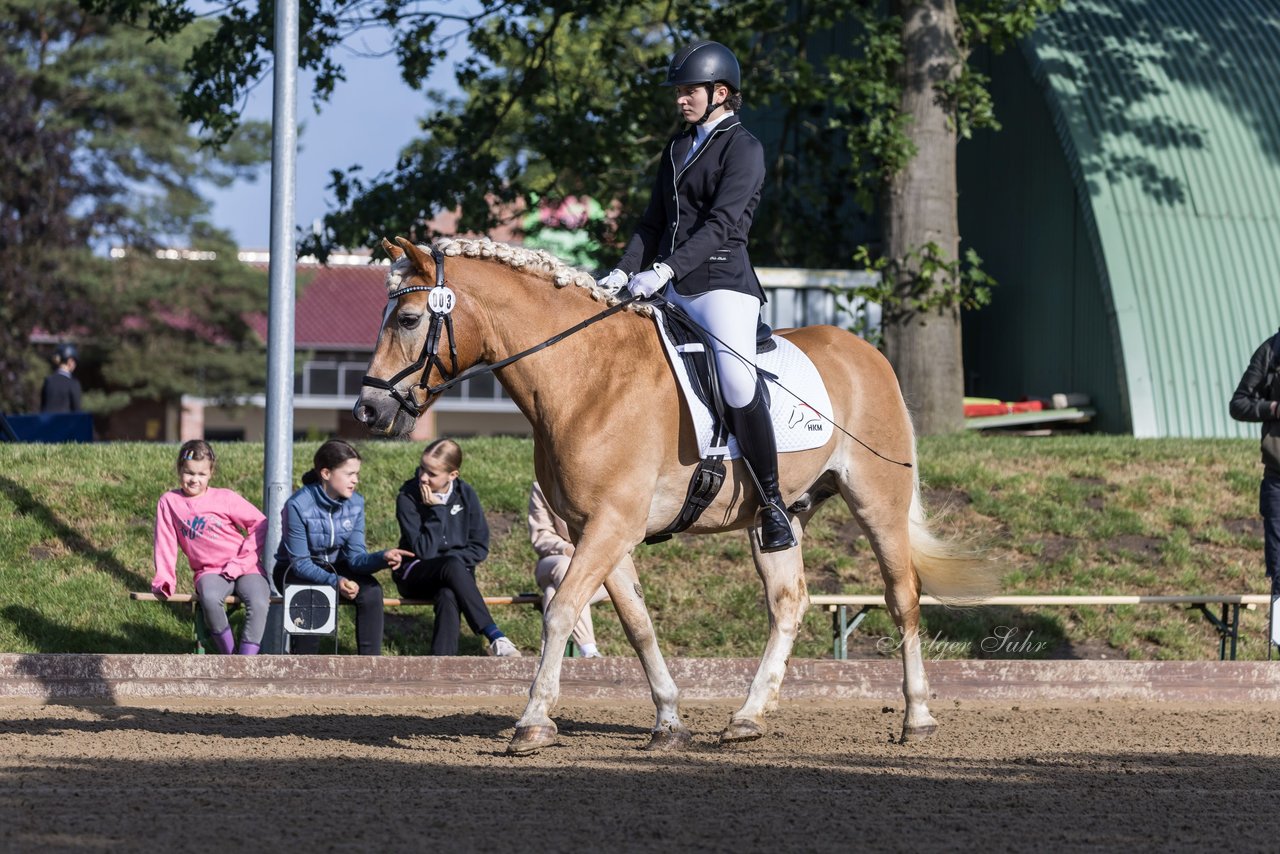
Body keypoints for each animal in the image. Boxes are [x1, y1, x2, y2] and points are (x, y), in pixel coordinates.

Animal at [355, 235, 993, 752]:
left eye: (408, 319)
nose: (369, 410)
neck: (585, 376)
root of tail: (867, 353)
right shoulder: (597, 528)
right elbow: (638, 624)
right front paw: (668, 720)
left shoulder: (612, 525)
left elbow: (561, 612)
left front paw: (533, 723)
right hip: (778, 516)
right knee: (788, 603)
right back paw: (748, 718)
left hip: (877, 502)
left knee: (902, 597)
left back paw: (917, 718)